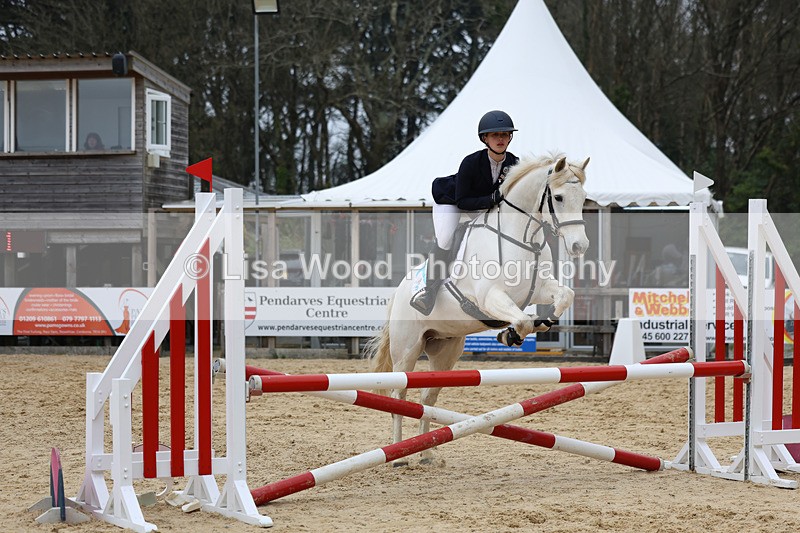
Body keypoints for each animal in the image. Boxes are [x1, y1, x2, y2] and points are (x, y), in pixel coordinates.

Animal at [365, 152, 590, 466]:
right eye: (557, 197)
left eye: (583, 198)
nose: (580, 246)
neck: (522, 237)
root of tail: (398, 292)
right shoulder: (490, 297)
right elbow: (522, 320)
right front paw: (511, 335)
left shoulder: (540, 287)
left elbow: (565, 296)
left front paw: (541, 323)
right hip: (407, 349)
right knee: (400, 393)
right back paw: (398, 456)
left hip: (444, 352)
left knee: (427, 399)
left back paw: (426, 454)